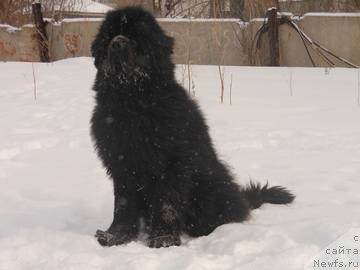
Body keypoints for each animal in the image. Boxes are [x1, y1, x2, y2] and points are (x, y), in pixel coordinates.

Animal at [90, 6, 292, 248]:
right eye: (110, 36)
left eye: (136, 37)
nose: (117, 42)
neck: (132, 103)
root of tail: (240, 199)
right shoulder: (122, 164)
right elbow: (122, 204)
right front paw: (114, 236)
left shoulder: (172, 164)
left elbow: (166, 204)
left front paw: (164, 239)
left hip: (209, 186)